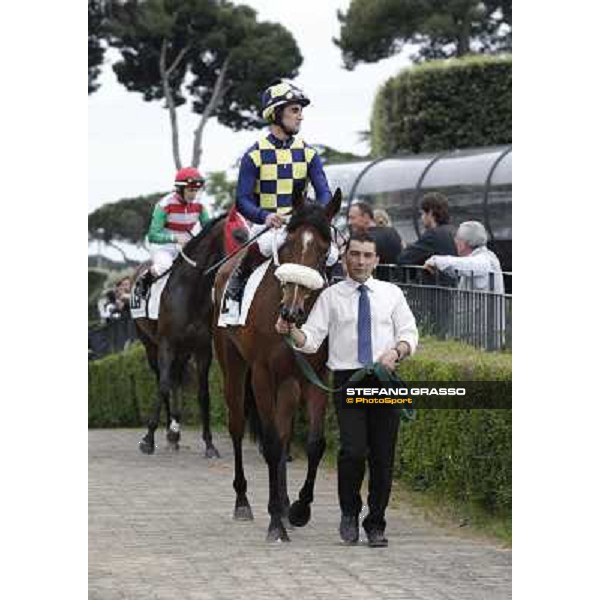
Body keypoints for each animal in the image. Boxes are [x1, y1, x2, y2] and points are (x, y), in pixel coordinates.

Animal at [137, 213, 246, 458]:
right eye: (238, 234)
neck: (191, 292)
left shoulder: (202, 348)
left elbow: (203, 394)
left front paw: (210, 444)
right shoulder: (166, 344)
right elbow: (163, 386)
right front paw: (148, 439)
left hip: (183, 350)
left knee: (175, 379)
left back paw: (174, 432)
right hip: (150, 345)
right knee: (162, 380)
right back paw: (169, 431)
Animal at [213, 190, 340, 540]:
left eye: (324, 250)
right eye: (288, 244)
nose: (291, 312)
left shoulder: (317, 375)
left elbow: (314, 443)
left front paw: (298, 509)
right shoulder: (262, 373)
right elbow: (269, 443)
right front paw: (275, 524)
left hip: (289, 382)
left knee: (284, 434)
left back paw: (283, 504)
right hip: (232, 364)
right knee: (238, 425)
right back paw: (243, 502)